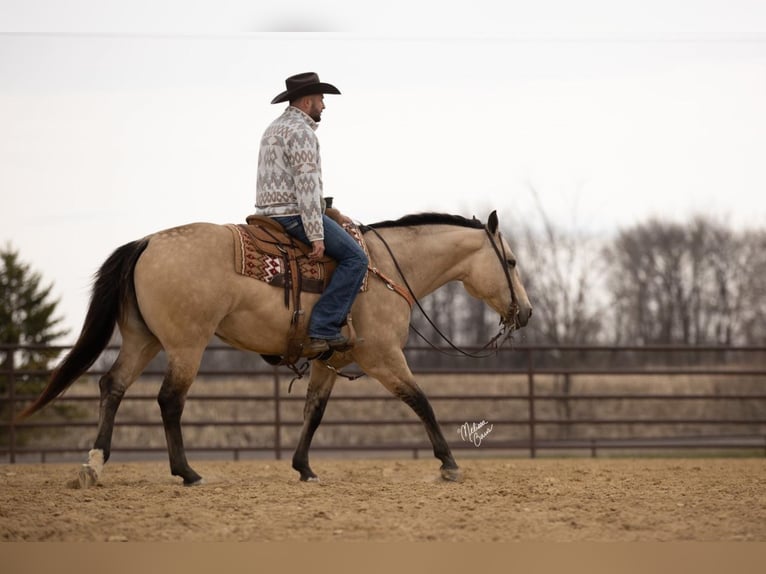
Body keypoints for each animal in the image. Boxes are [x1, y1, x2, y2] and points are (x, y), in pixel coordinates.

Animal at [19, 209, 536, 488]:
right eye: (511, 261)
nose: (527, 313)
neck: (386, 269)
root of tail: (146, 242)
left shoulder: (332, 360)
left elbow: (315, 412)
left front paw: (303, 467)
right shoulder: (383, 357)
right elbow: (421, 401)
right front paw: (449, 464)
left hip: (143, 340)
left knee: (113, 385)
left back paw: (94, 464)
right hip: (187, 343)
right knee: (169, 400)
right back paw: (187, 472)